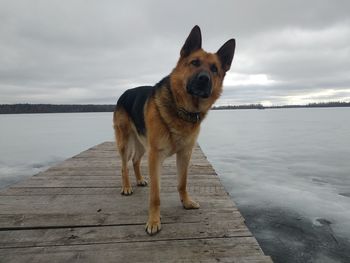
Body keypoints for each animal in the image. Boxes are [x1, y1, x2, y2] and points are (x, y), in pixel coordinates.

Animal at [114, 25, 235, 236]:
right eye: (194, 63)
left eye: (214, 69)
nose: (204, 79)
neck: (183, 110)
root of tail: (124, 92)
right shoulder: (155, 157)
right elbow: (155, 195)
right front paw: (154, 221)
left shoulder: (185, 154)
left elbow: (182, 182)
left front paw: (186, 202)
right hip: (125, 143)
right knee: (124, 166)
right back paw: (127, 187)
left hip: (142, 144)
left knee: (135, 160)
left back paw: (140, 180)